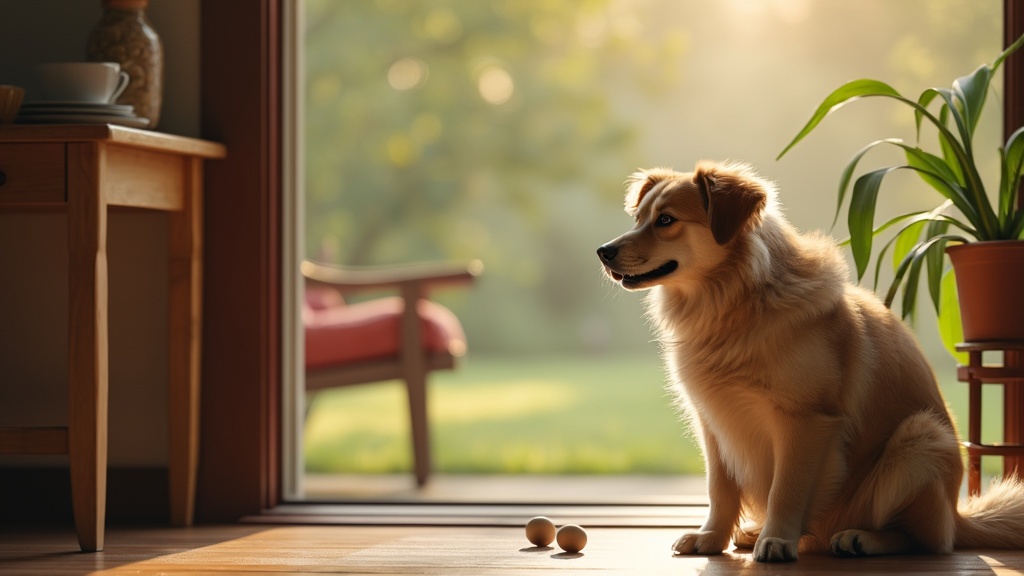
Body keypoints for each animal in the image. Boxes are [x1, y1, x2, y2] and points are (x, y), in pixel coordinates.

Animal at [598, 158, 1024, 557]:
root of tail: (957, 515)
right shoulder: (714, 422)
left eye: (666, 220)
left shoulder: (805, 420)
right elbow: (720, 489)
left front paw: (776, 541)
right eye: (638, 219)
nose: (603, 251)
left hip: (921, 437)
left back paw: (861, 538)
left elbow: (785, 490)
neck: (738, 303)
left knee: (925, 540)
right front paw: (711, 538)